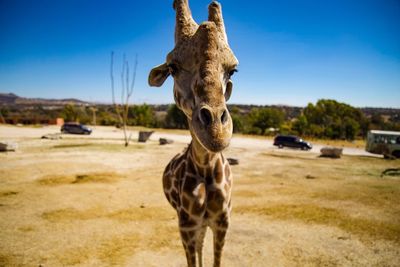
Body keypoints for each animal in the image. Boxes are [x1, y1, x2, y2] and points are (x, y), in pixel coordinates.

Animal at [149, 1, 238, 266]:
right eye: (173, 67)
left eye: (233, 70)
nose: (216, 132)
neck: (206, 169)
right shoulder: (186, 225)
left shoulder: (222, 222)